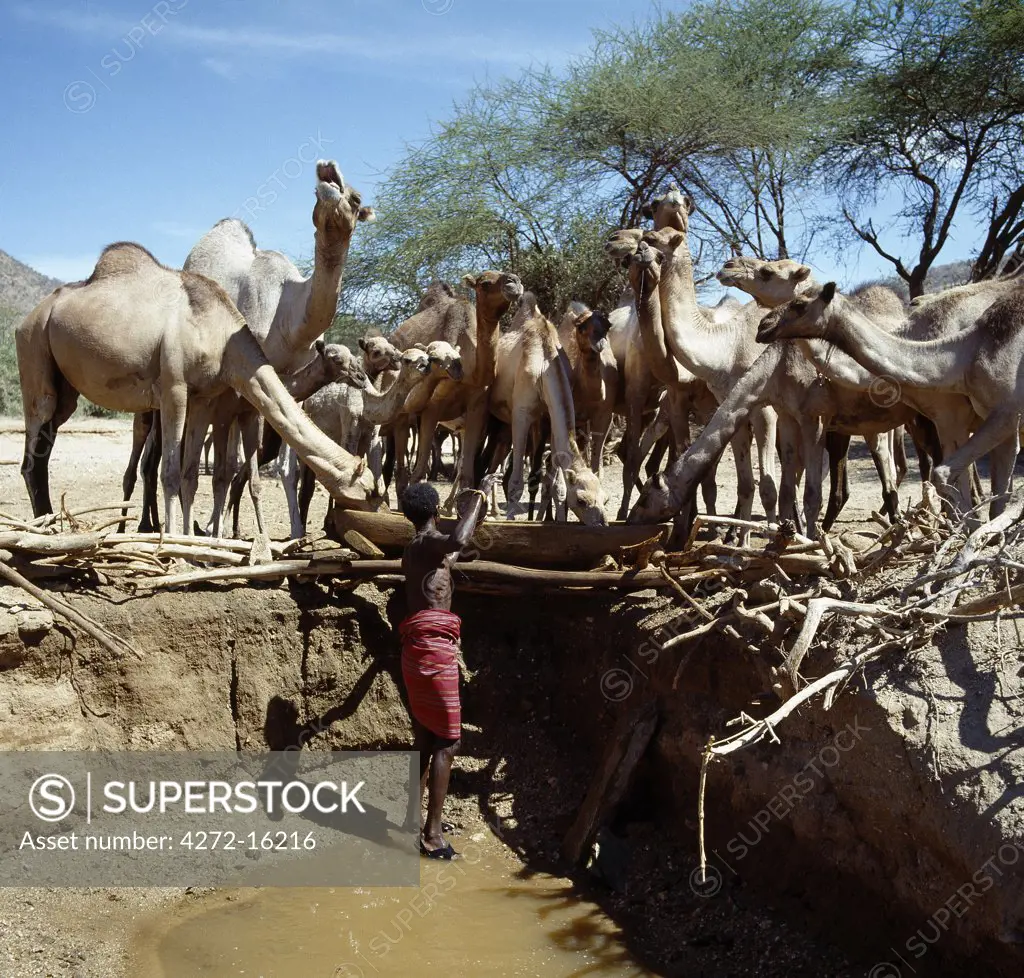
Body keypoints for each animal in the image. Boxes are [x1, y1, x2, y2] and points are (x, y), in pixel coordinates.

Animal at [16, 244, 380, 536]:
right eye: (369, 490)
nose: (361, 377)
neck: (221, 337)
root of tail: (27, 319)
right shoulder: (175, 388)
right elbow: (174, 472)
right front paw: (177, 544)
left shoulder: (205, 397)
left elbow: (194, 474)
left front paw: (198, 541)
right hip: (34, 349)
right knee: (36, 448)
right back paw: (51, 528)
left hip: (65, 388)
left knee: (49, 444)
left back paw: (55, 523)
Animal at [489, 294, 606, 524]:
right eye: (581, 500)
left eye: (604, 499)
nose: (603, 523)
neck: (544, 364)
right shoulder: (521, 413)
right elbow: (516, 484)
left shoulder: (549, 418)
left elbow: (558, 484)